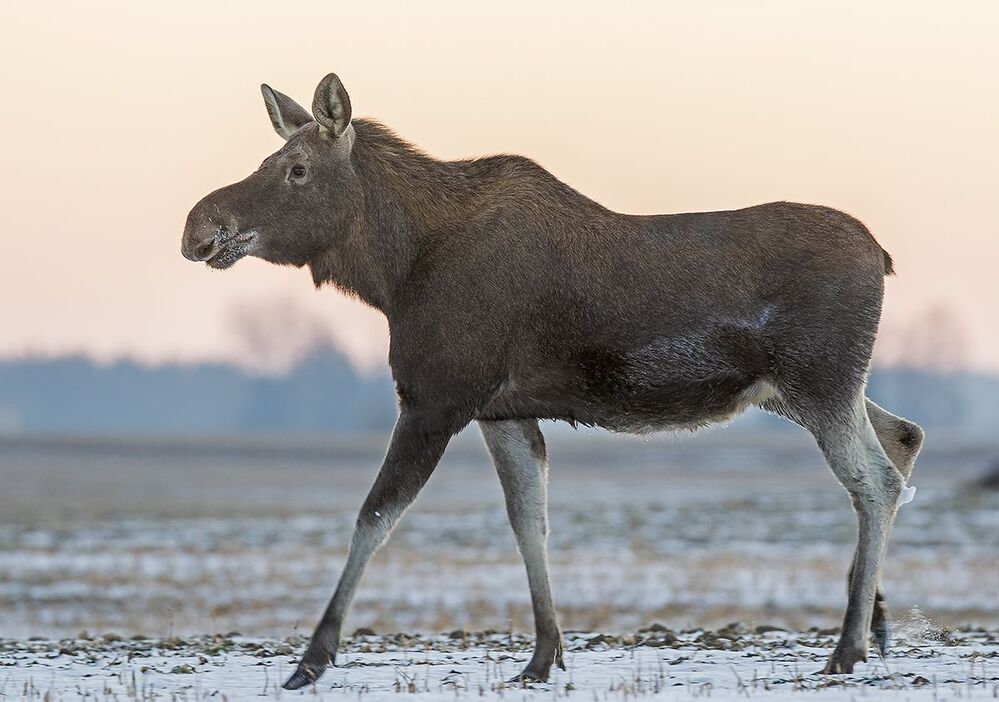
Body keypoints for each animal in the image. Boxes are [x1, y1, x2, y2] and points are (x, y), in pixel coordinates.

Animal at [181, 73, 924, 690]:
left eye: (297, 170)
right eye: (269, 162)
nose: (198, 227)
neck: (394, 271)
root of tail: (883, 257)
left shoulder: (436, 397)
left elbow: (375, 514)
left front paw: (311, 658)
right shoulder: (501, 410)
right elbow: (527, 519)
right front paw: (543, 655)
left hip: (818, 384)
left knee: (877, 481)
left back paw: (846, 648)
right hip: (801, 390)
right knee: (904, 436)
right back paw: (875, 623)